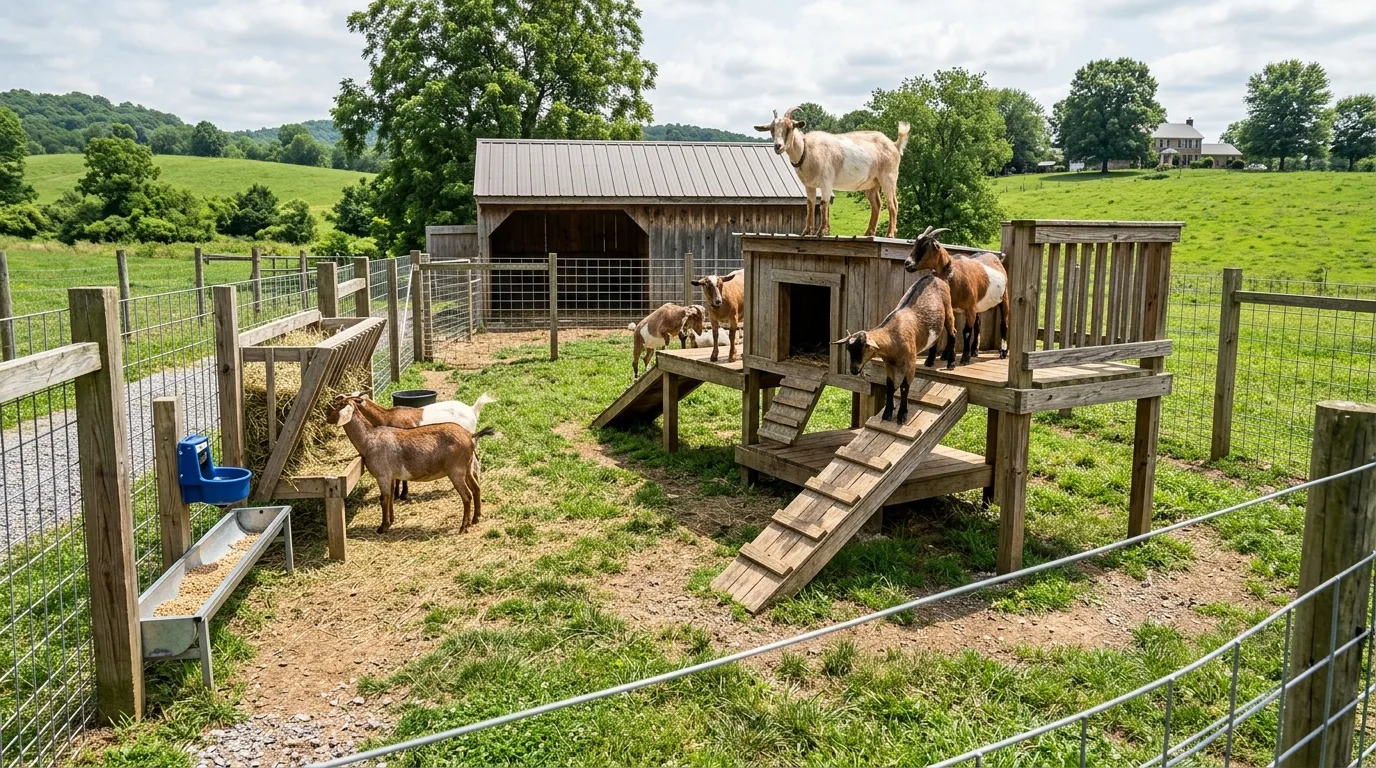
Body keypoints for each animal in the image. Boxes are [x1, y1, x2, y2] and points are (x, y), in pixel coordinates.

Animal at [755, 107, 910, 238]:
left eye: (789, 127)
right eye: (771, 129)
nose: (778, 146)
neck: (806, 149)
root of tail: (894, 145)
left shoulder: (826, 182)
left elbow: (824, 203)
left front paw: (821, 231)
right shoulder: (809, 185)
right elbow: (810, 205)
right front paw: (807, 232)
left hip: (888, 177)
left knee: (893, 203)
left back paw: (890, 234)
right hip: (872, 183)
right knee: (877, 204)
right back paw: (869, 233)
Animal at [833, 274, 956, 424]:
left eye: (864, 348)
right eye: (849, 350)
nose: (854, 370)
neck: (893, 337)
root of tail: (934, 277)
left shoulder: (910, 363)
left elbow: (904, 387)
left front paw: (902, 415)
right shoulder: (889, 364)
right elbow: (890, 386)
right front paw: (887, 413)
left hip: (948, 308)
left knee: (953, 332)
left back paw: (951, 363)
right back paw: (930, 361)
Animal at [903, 226, 1009, 364]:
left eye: (926, 246)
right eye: (915, 243)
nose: (907, 263)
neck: (954, 273)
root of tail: (997, 259)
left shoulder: (969, 308)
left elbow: (966, 332)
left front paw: (964, 358)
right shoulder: (954, 307)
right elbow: (950, 329)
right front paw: (946, 355)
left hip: (1004, 297)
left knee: (1003, 323)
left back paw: (1003, 352)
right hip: (977, 305)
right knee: (978, 324)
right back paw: (974, 351)